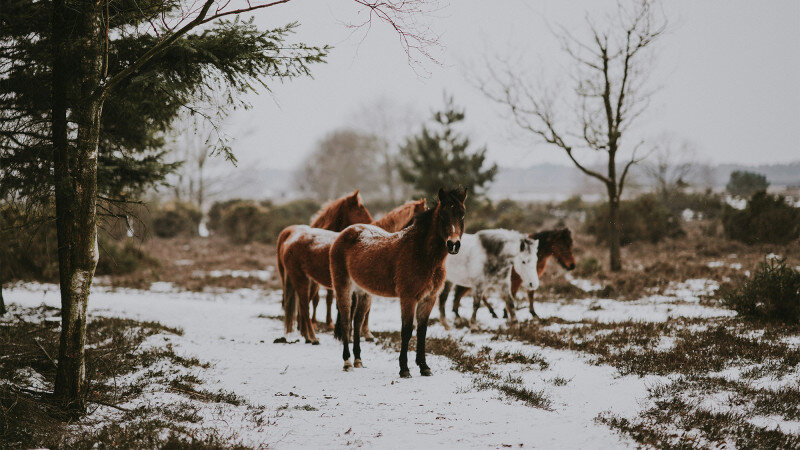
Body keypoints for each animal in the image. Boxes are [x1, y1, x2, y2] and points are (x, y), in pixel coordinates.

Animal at [276, 189, 374, 342]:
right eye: (360, 208)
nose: (373, 224)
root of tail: (289, 241)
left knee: (303, 306)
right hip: (301, 280)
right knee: (304, 307)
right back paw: (312, 337)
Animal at [332, 188, 468, 378]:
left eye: (462, 214)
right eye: (443, 215)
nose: (453, 244)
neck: (421, 254)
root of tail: (346, 232)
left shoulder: (429, 298)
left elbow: (422, 331)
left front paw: (424, 367)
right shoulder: (408, 298)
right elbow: (407, 330)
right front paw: (404, 369)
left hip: (364, 292)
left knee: (357, 321)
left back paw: (358, 360)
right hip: (342, 286)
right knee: (346, 321)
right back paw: (347, 362)